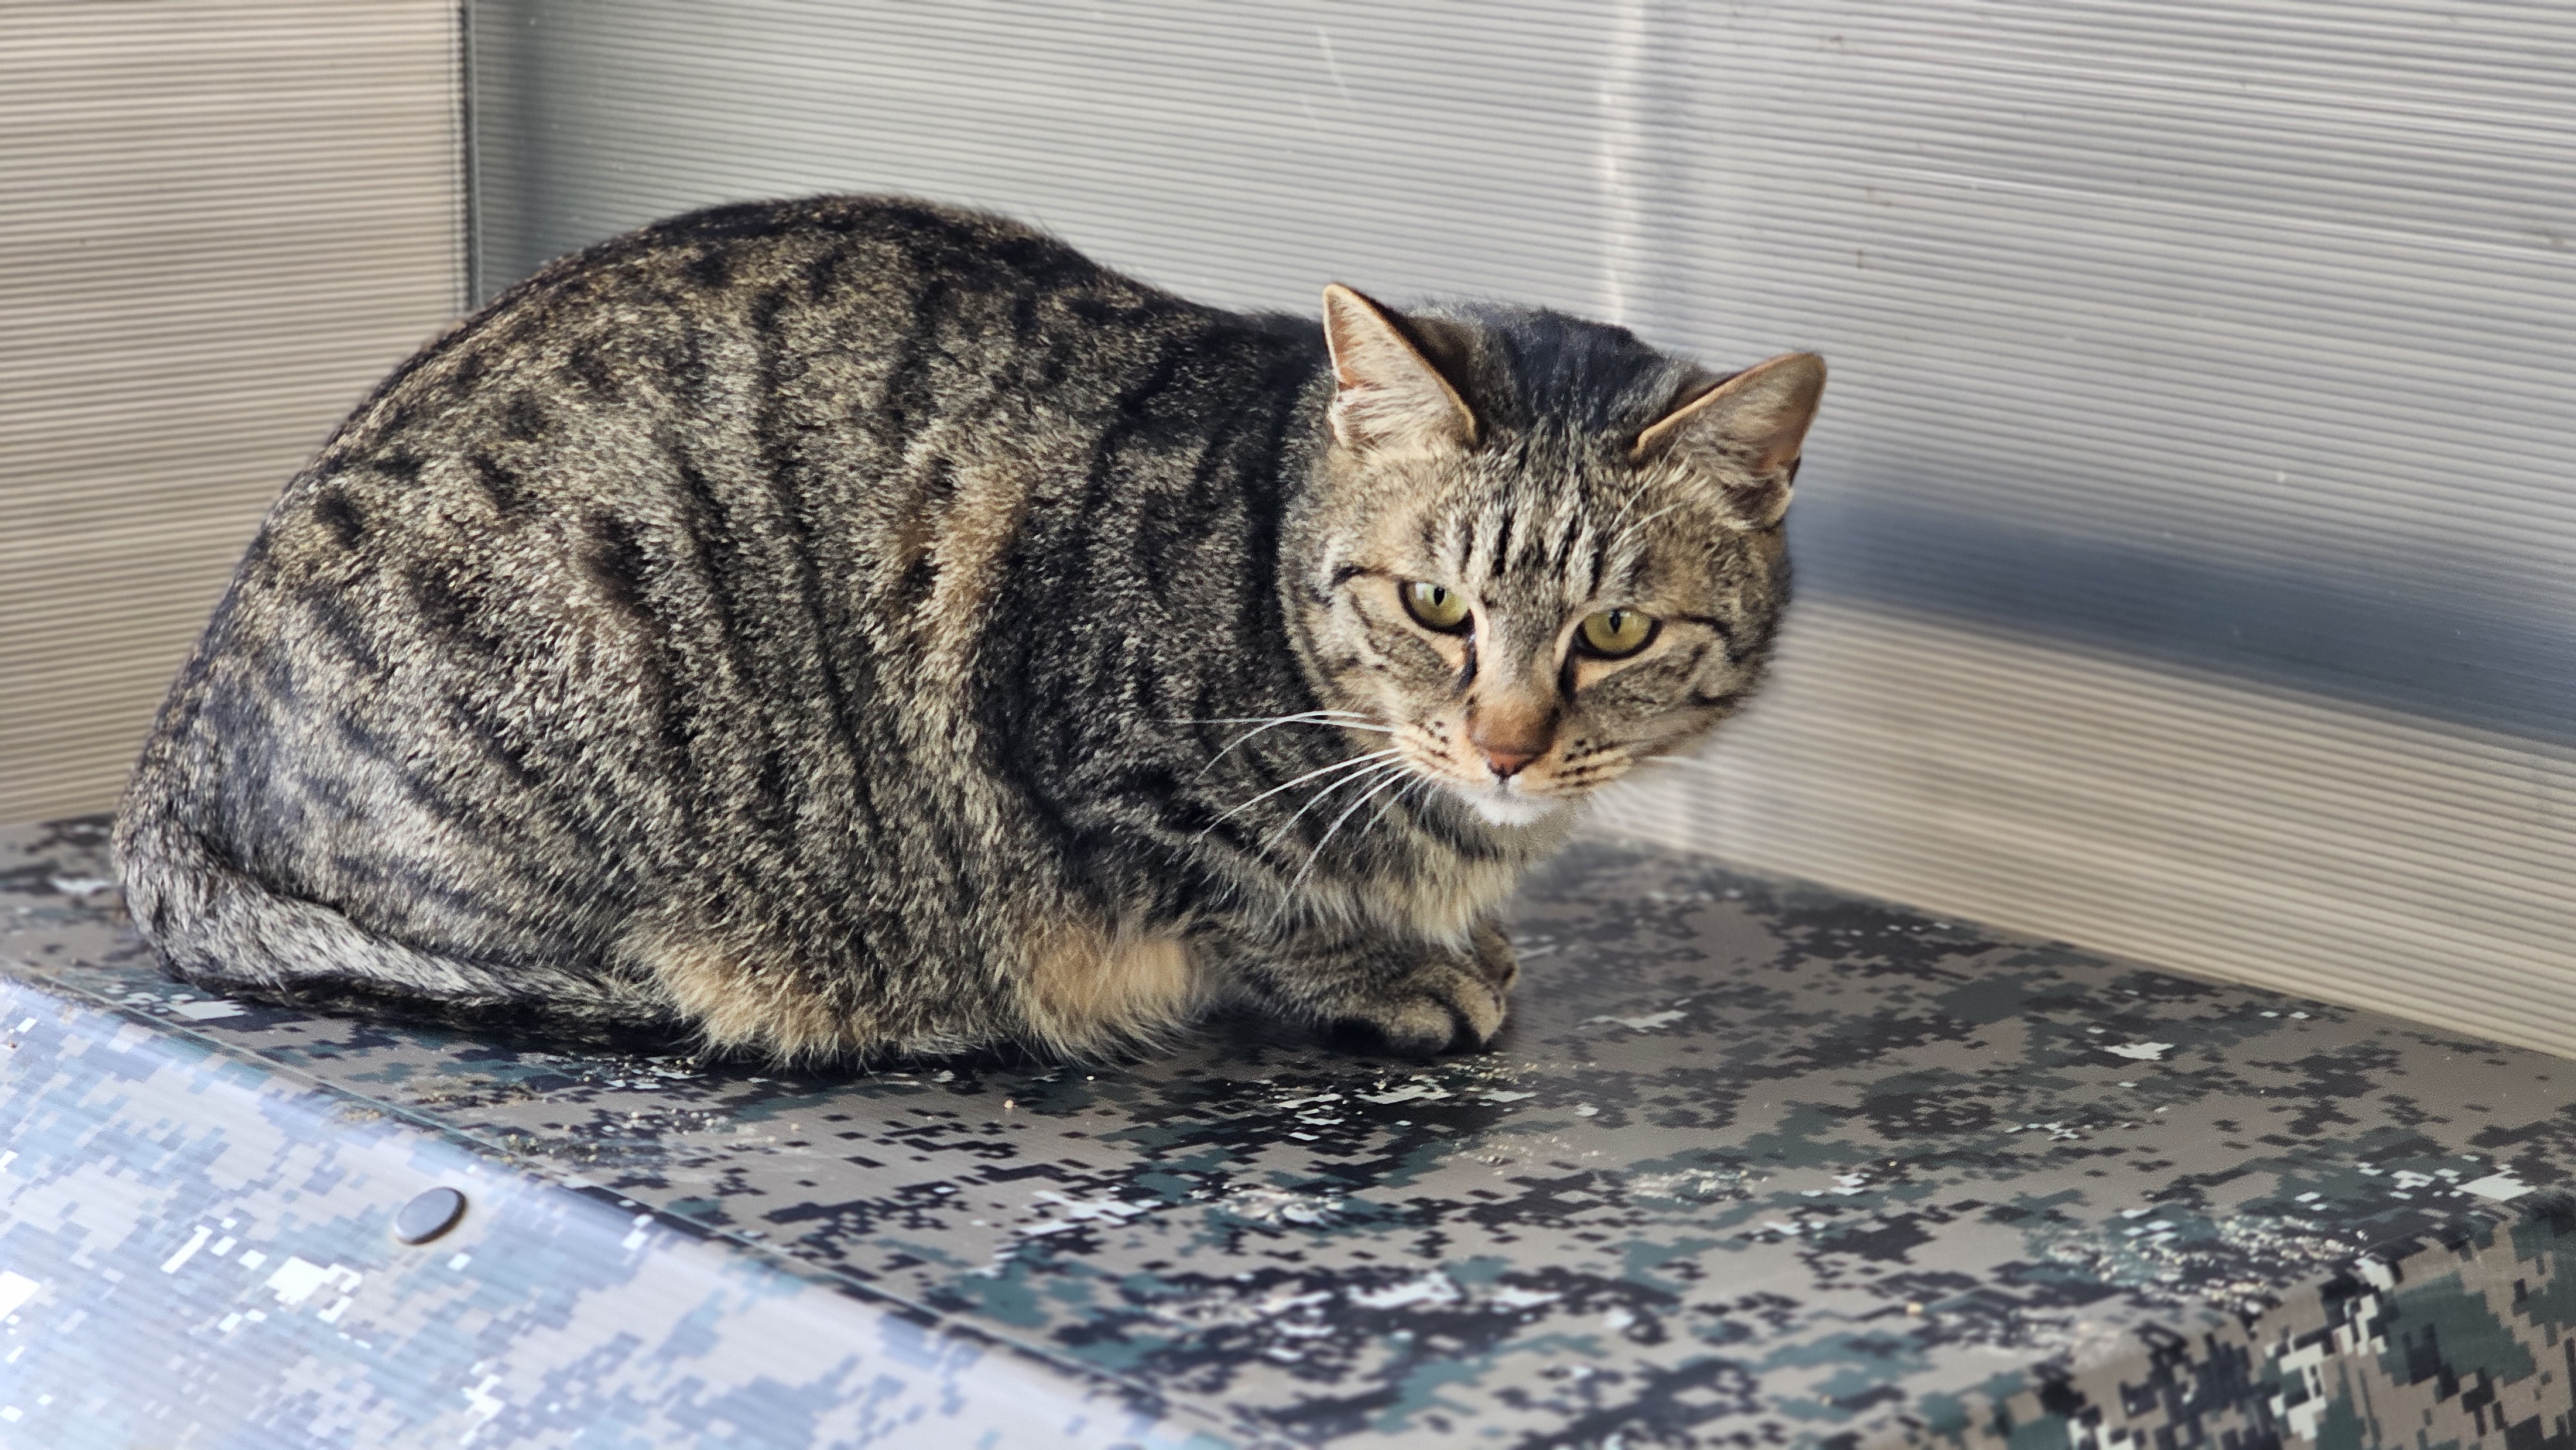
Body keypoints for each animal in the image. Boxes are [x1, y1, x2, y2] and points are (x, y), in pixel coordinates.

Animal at [114, 195, 1823, 1064]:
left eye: (1615, 628)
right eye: (1436, 605)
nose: (1508, 744)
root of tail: (166, 763)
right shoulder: (1091, 759)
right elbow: (1247, 892)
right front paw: (1384, 963)